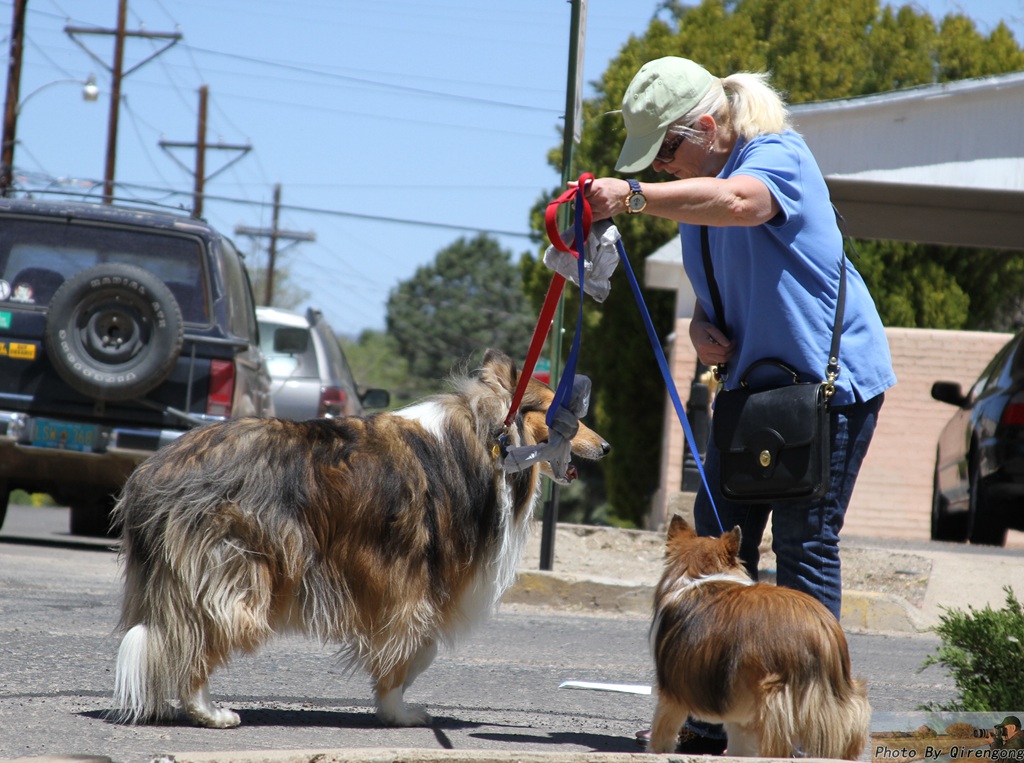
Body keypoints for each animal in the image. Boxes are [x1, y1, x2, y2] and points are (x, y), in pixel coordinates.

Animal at [112, 348, 606, 729]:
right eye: (565, 415)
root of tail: (152, 474)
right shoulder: (411, 581)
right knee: (197, 639)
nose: (606, 448)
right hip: (238, 575)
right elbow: (413, 647)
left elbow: (417, 647)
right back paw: (210, 712)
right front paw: (399, 713)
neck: (494, 438)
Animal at [651, 514, 868, 757]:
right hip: (840, 698)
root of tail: (821, 633)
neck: (698, 576)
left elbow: (662, 732)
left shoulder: (673, 693)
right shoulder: (737, 708)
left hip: (773, 699)